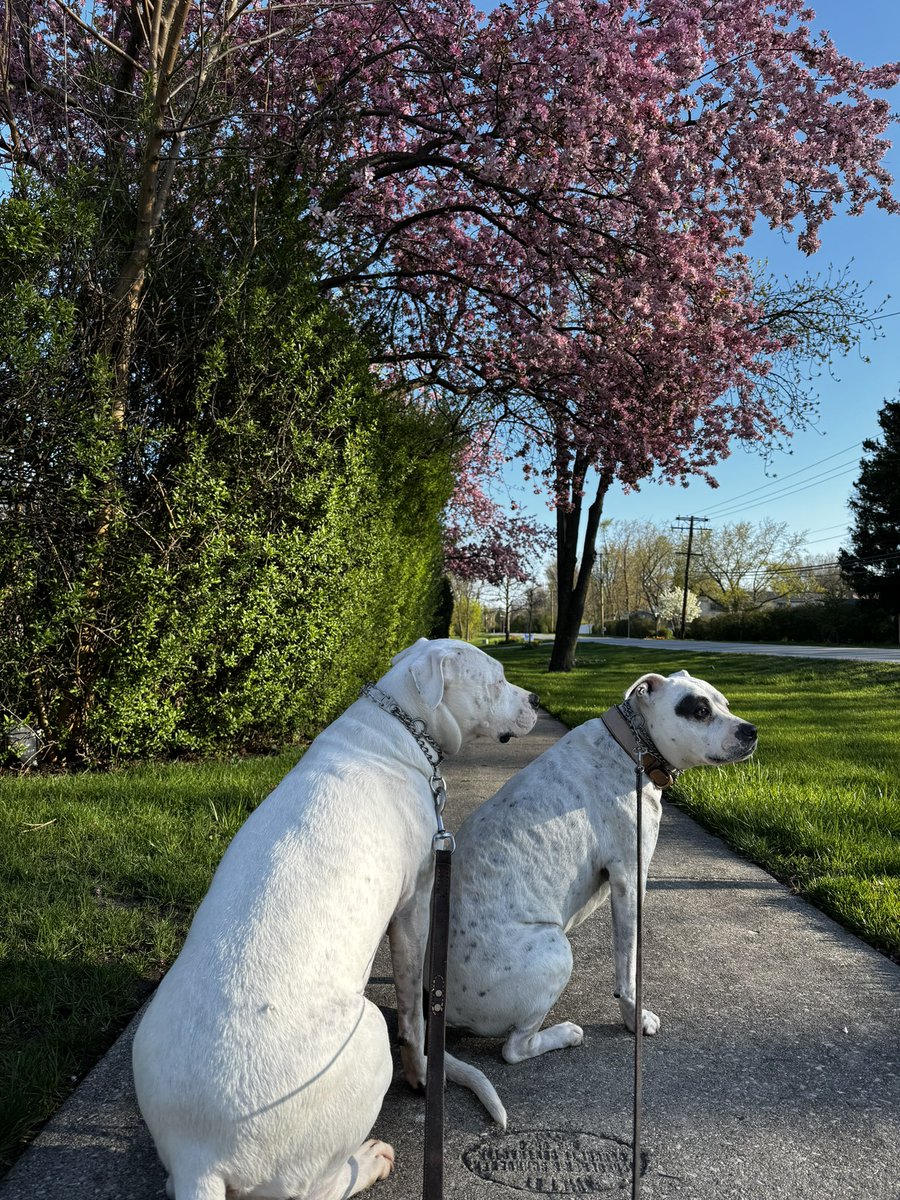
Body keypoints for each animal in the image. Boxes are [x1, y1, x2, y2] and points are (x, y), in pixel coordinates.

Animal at [131, 638, 540, 1200]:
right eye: (498, 681)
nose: (536, 698)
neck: (396, 728)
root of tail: (201, 1156)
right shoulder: (414, 905)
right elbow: (413, 1014)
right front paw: (423, 1073)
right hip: (363, 1035)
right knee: (318, 1189)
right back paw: (367, 1161)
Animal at [448, 667, 758, 1099]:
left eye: (724, 703)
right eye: (699, 711)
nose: (752, 730)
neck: (632, 747)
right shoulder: (630, 880)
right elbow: (628, 968)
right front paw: (634, 1018)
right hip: (554, 949)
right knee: (514, 1048)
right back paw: (564, 1034)